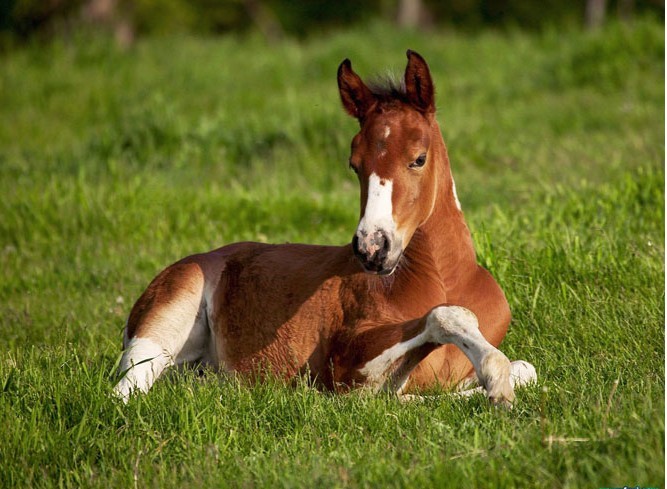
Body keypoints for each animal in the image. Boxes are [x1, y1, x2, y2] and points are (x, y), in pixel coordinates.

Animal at [112, 51, 536, 406]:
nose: (372, 247)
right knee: (124, 391)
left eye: (419, 158)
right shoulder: (346, 364)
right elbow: (440, 322)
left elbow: (526, 369)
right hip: (163, 323)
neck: (445, 279)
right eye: (354, 164)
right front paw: (495, 381)